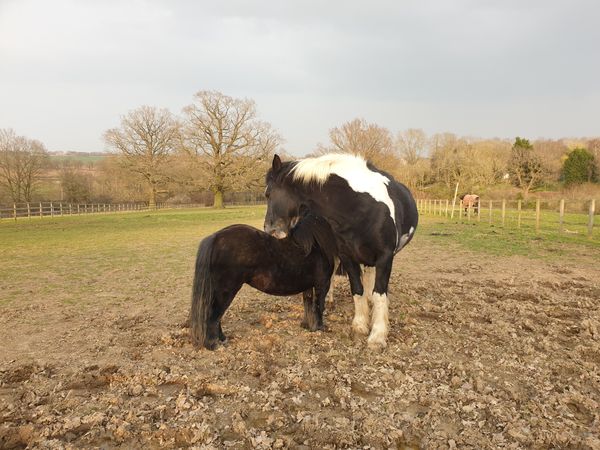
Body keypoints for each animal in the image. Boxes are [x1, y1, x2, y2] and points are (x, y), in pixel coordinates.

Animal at [190, 214, 336, 348]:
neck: (316, 247)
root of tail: (216, 237)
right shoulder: (322, 285)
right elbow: (319, 306)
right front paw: (319, 328)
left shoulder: (308, 287)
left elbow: (308, 305)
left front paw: (307, 325)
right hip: (225, 291)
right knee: (214, 316)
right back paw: (212, 344)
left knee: (216, 316)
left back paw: (222, 339)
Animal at [262, 153, 418, 350]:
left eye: (268, 194)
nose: (268, 229)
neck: (360, 206)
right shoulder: (347, 256)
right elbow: (357, 289)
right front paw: (359, 326)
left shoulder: (385, 257)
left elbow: (380, 293)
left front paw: (377, 336)